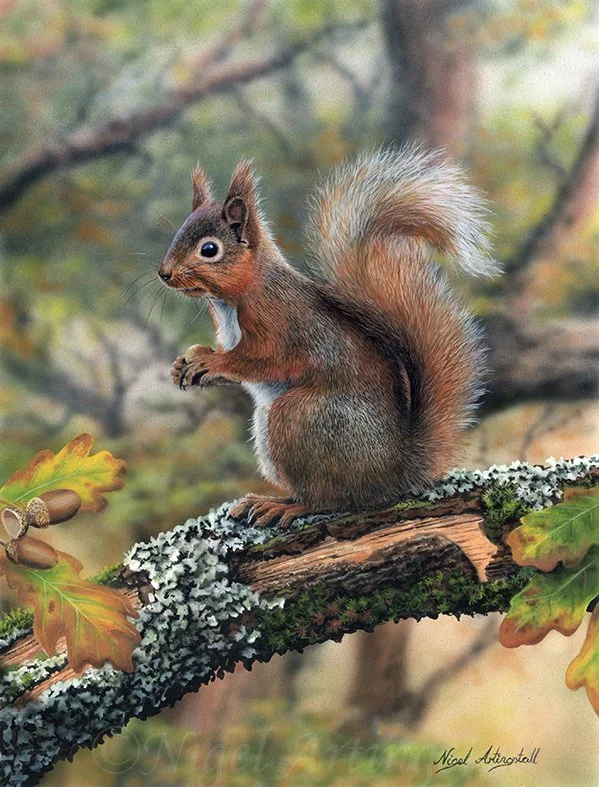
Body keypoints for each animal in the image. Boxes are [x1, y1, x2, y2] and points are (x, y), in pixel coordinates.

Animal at [158, 145, 498, 527]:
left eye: (209, 249)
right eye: (177, 234)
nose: (164, 273)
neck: (232, 299)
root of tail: (393, 473)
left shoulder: (279, 323)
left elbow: (262, 360)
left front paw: (210, 362)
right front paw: (186, 360)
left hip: (299, 419)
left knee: (331, 500)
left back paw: (284, 507)